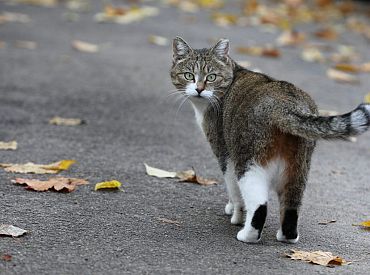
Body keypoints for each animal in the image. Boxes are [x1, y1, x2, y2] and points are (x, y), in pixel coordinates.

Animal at [170, 36, 370, 244]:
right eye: (189, 75)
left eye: (211, 77)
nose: (199, 89)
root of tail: (285, 105)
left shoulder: (224, 153)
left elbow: (234, 191)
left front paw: (235, 214)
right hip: (298, 167)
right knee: (291, 206)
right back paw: (287, 236)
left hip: (248, 161)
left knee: (259, 204)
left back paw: (247, 235)